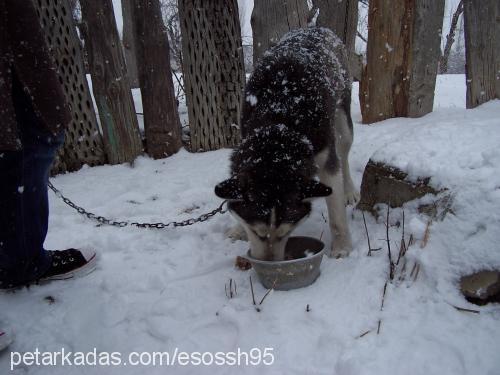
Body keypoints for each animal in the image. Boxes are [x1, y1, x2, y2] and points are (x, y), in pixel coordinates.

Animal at [215, 27, 360, 262]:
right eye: (256, 232)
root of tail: (317, 28)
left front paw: (342, 246)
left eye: (285, 232)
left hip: (343, 119)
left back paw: (349, 190)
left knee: (343, 155)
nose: (267, 264)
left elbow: (336, 210)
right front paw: (238, 229)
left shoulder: (325, 157)